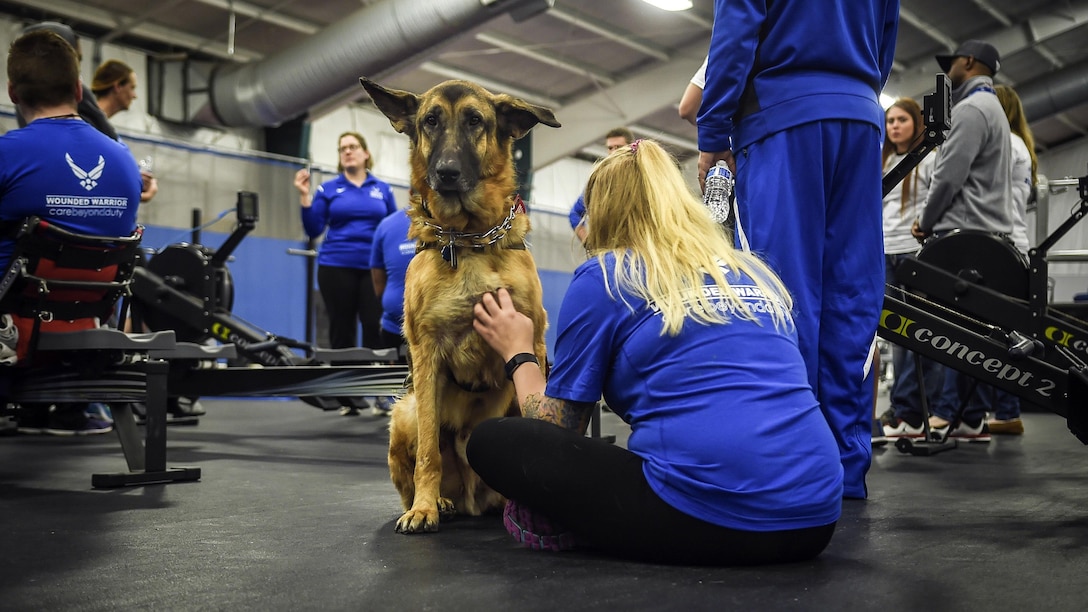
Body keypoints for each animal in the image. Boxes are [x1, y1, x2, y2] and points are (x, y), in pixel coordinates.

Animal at [361, 78, 561, 531]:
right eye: (430, 121)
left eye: (475, 121)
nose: (446, 173)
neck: (468, 239)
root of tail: (473, 499)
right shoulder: (427, 356)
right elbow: (429, 452)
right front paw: (424, 507)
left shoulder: (535, 346)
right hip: (405, 412)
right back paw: (439, 501)